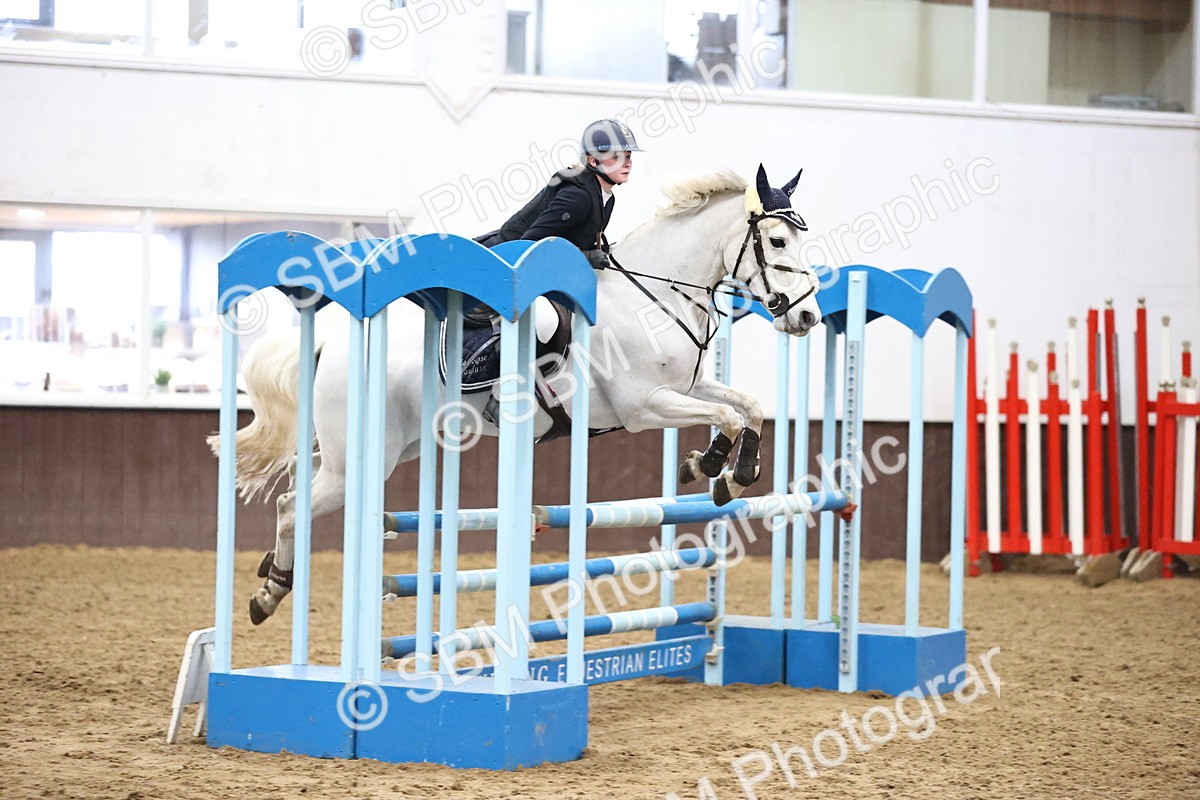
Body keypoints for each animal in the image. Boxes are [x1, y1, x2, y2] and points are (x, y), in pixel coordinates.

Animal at [214, 165, 824, 625]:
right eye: (776, 241)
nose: (808, 317)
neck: (655, 296)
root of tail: (332, 345)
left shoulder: (685, 387)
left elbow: (747, 407)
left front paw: (717, 467)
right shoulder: (644, 405)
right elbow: (727, 414)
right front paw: (722, 470)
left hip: (393, 448)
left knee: (298, 492)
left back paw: (271, 575)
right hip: (360, 461)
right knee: (292, 506)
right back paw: (270, 592)